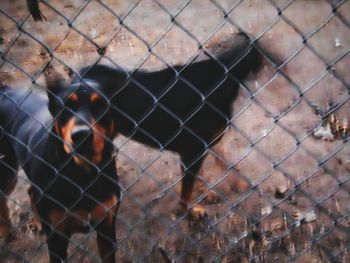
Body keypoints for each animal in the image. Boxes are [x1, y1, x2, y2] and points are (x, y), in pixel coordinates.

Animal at [0, 69, 119, 262]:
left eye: (100, 105)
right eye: (65, 107)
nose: (81, 135)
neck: (81, 175)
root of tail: (5, 90)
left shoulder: (106, 228)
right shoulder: (57, 238)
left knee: (31, 191)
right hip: (7, 167)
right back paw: (5, 230)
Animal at [79, 32, 262, 219]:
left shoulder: (205, 146)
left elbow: (220, 164)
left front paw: (220, 187)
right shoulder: (191, 152)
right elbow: (186, 192)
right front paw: (191, 210)